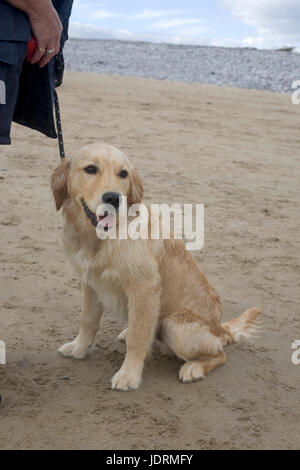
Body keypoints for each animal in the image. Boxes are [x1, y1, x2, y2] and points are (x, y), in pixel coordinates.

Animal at [51, 142, 262, 390]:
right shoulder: (91, 282)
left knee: (220, 353)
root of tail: (219, 327)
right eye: (91, 169)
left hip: (175, 327)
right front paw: (79, 348)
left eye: (123, 173)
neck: (100, 239)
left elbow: (137, 338)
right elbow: (88, 320)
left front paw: (129, 375)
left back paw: (194, 368)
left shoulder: (145, 288)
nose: (114, 198)